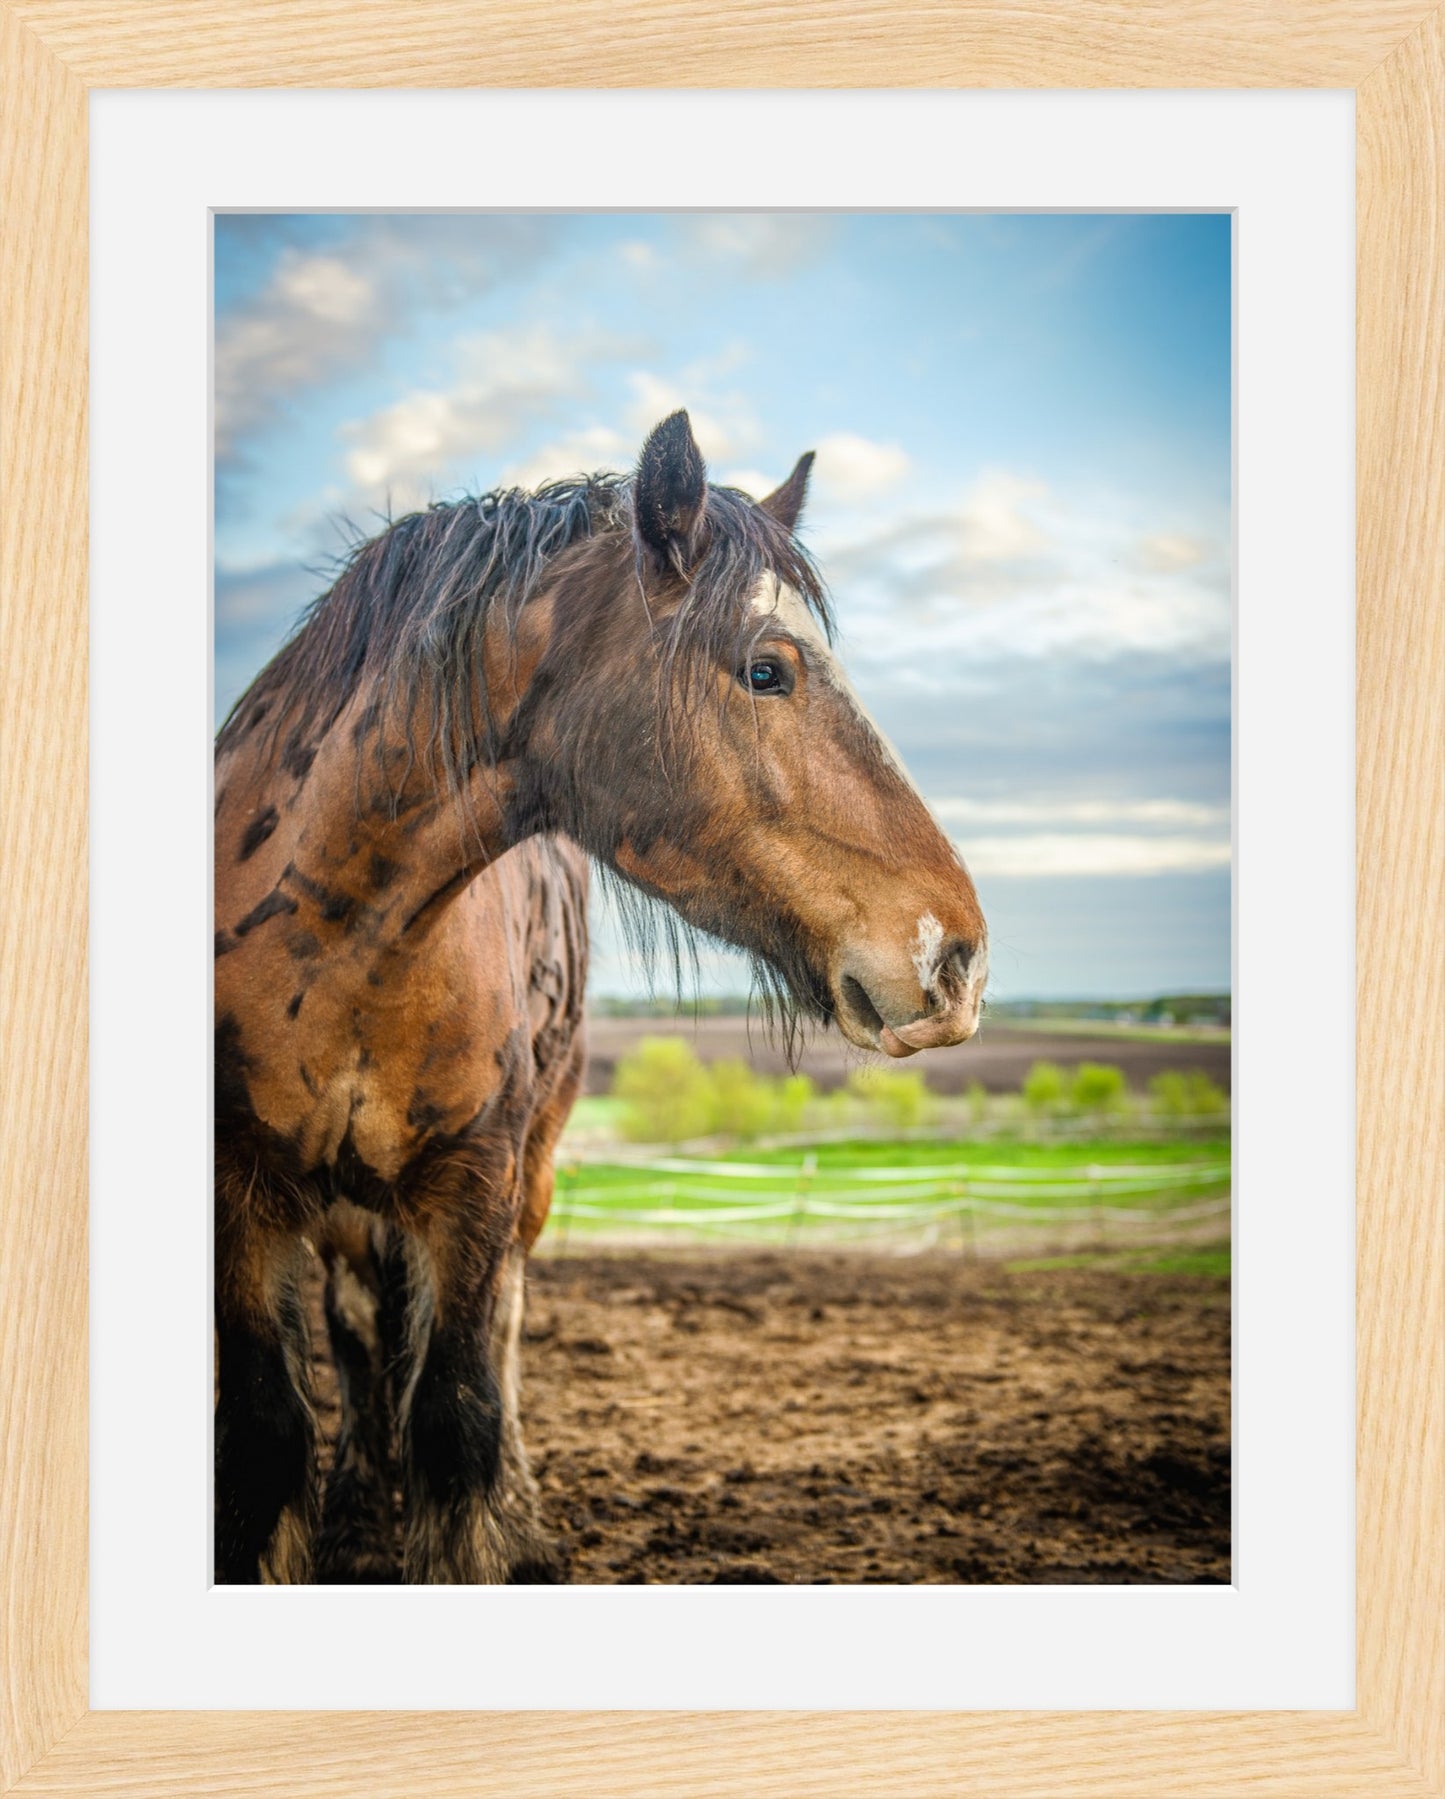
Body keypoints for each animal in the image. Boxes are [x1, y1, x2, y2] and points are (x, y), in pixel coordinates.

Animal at [212, 413, 986, 1583]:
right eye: (767, 669)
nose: (958, 956)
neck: (338, 939)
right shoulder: (243, 1197)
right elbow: (270, 1441)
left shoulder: (473, 1183)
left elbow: (457, 1419)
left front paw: (491, 1527)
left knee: (491, 1344)